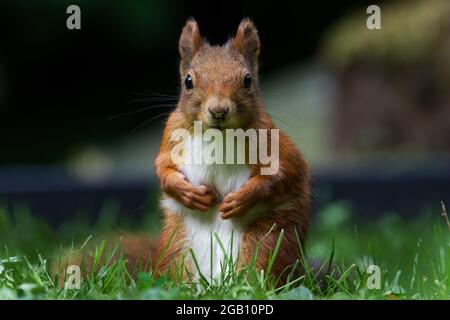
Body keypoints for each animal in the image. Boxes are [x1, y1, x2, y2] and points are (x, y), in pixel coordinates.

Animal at [152, 18, 312, 282]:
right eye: (188, 81)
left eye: (247, 80)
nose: (218, 110)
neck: (218, 136)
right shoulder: (171, 140)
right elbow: (163, 170)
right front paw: (188, 193)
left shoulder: (273, 143)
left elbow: (281, 174)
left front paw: (240, 199)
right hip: (176, 247)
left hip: (265, 241)